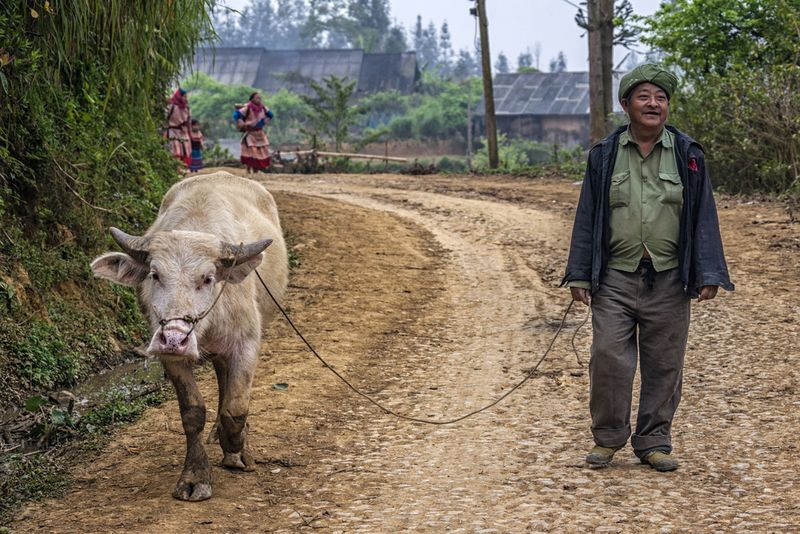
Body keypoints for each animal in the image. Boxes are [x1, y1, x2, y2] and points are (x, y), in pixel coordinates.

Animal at [90, 173, 288, 502]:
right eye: (154, 274)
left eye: (207, 278)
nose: (174, 338)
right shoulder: (170, 358)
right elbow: (192, 412)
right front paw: (196, 477)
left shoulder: (246, 344)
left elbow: (236, 409)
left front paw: (238, 450)